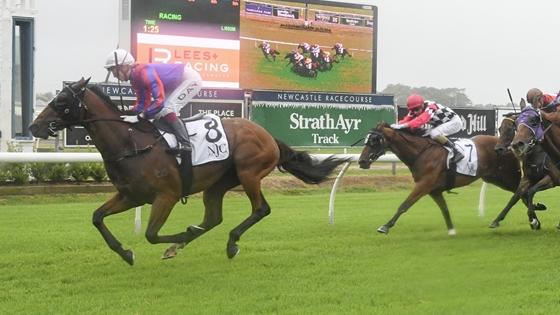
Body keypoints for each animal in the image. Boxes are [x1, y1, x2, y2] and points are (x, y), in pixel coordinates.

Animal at [29, 78, 350, 266]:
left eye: (61, 101)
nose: (34, 126)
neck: (131, 144)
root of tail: (268, 135)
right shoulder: (131, 196)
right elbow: (97, 217)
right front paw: (126, 252)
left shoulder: (167, 195)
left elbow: (151, 234)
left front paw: (176, 239)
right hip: (218, 184)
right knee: (213, 218)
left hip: (249, 173)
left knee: (260, 209)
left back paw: (230, 243)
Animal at [358, 122, 532, 236]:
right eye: (366, 140)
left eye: (374, 141)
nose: (362, 161)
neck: (421, 152)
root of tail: (508, 146)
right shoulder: (434, 190)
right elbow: (445, 210)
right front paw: (452, 230)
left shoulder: (423, 185)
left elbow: (404, 205)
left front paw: (385, 226)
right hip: (495, 178)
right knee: (523, 193)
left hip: (508, 177)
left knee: (523, 192)